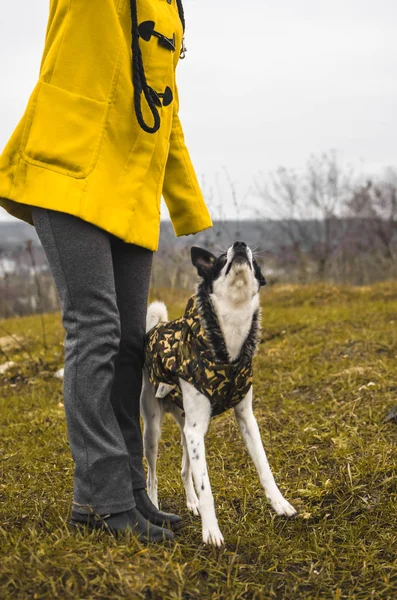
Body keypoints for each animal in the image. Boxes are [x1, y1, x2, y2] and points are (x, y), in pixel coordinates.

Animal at [141, 241, 296, 548]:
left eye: (252, 262)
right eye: (222, 259)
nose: (240, 245)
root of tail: (156, 327)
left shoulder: (246, 420)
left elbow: (264, 467)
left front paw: (279, 504)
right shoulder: (194, 431)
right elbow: (206, 487)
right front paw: (211, 530)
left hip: (189, 429)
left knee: (185, 469)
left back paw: (191, 502)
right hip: (154, 430)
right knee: (152, 475)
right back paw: (155, 506)